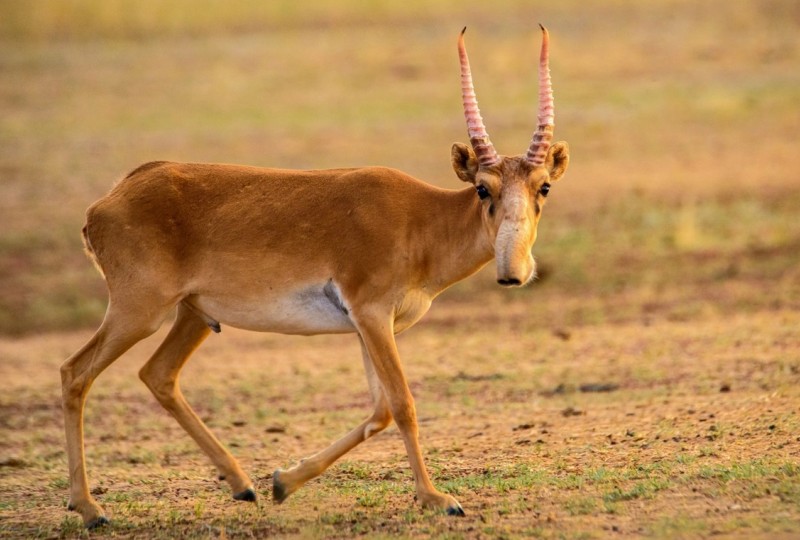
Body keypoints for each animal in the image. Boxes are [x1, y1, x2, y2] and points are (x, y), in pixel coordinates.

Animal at [62, 26, 568, 528]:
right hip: (140, 312)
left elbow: (380, 410)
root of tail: (107, 200)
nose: (513, 273)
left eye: (543, 187)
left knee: (158, 374)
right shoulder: (371, 315)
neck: (422, 219)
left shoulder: (370, 327)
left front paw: (283, 481)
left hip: (192, 316)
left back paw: (243, 485)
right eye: (483, 188)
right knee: (75, 373)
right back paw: (90, 509)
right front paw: (437, 498)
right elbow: (403, 404)